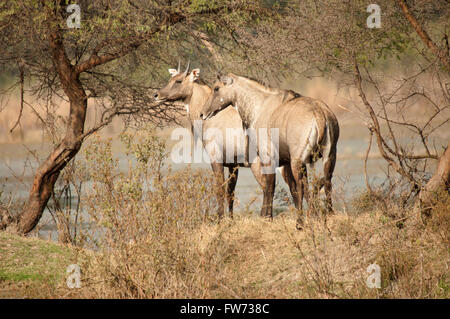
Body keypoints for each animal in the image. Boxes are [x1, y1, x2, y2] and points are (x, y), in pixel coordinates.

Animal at [155, 62, 288, 218]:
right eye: (171, 78)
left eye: (178, 81)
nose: (157, 94)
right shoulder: (233, 165)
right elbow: (230, 193)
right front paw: (230, 218)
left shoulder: (216, 159)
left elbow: (219, 189)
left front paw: (220, 218)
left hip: (259, 164)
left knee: (268, 186)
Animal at [202, 74, 340, 229]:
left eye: (216, 88)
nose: (203, 113)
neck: (259, 106)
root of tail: (320, 114)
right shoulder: (282, 162)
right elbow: (279, 187)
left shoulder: (267, 158)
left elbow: (269, 186)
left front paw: (267, 217)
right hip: (329, 156)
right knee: (326, 181)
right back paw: (328, 214)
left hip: (298, 161)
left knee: (302, 186)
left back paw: (301, 222)